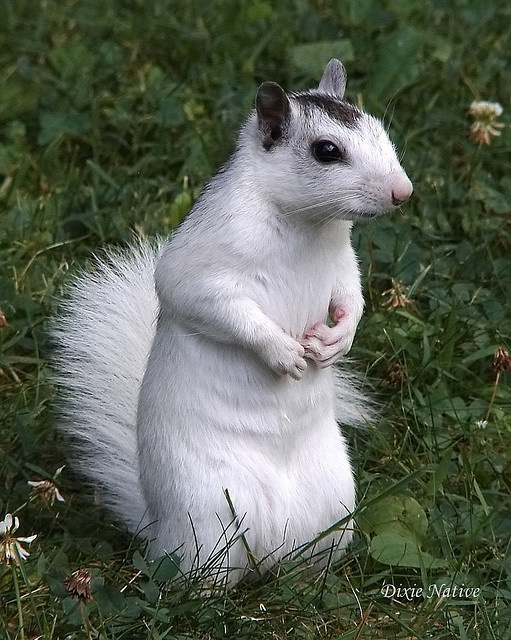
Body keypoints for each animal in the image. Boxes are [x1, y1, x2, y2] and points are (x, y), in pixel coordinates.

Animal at [52, 59, 412, 585]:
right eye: (326, 151)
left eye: (380, 130)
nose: (402, 192)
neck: (306, 226)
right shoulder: (203, 267)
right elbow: (213, 305)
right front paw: (283, 353)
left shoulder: (342, 263)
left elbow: (351, 297)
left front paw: (337, 340)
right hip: (207, 513)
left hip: (333, 510)